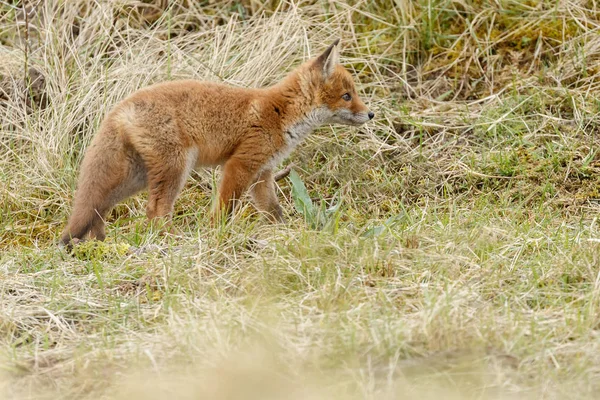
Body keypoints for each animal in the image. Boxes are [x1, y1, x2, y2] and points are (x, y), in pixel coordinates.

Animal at [58, 40, 372, 247]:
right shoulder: (240, 165)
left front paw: (285, 233)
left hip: (136, 178)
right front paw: (215, 235)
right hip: (174, 170)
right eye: (347, 96)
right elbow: (224, 208)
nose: (371, 114)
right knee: (155, 210)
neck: (282, 114)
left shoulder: (263, 173)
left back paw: (100, 243)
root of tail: (121, 105)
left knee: (99, 206)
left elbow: (273, 211)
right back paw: (171, 241)